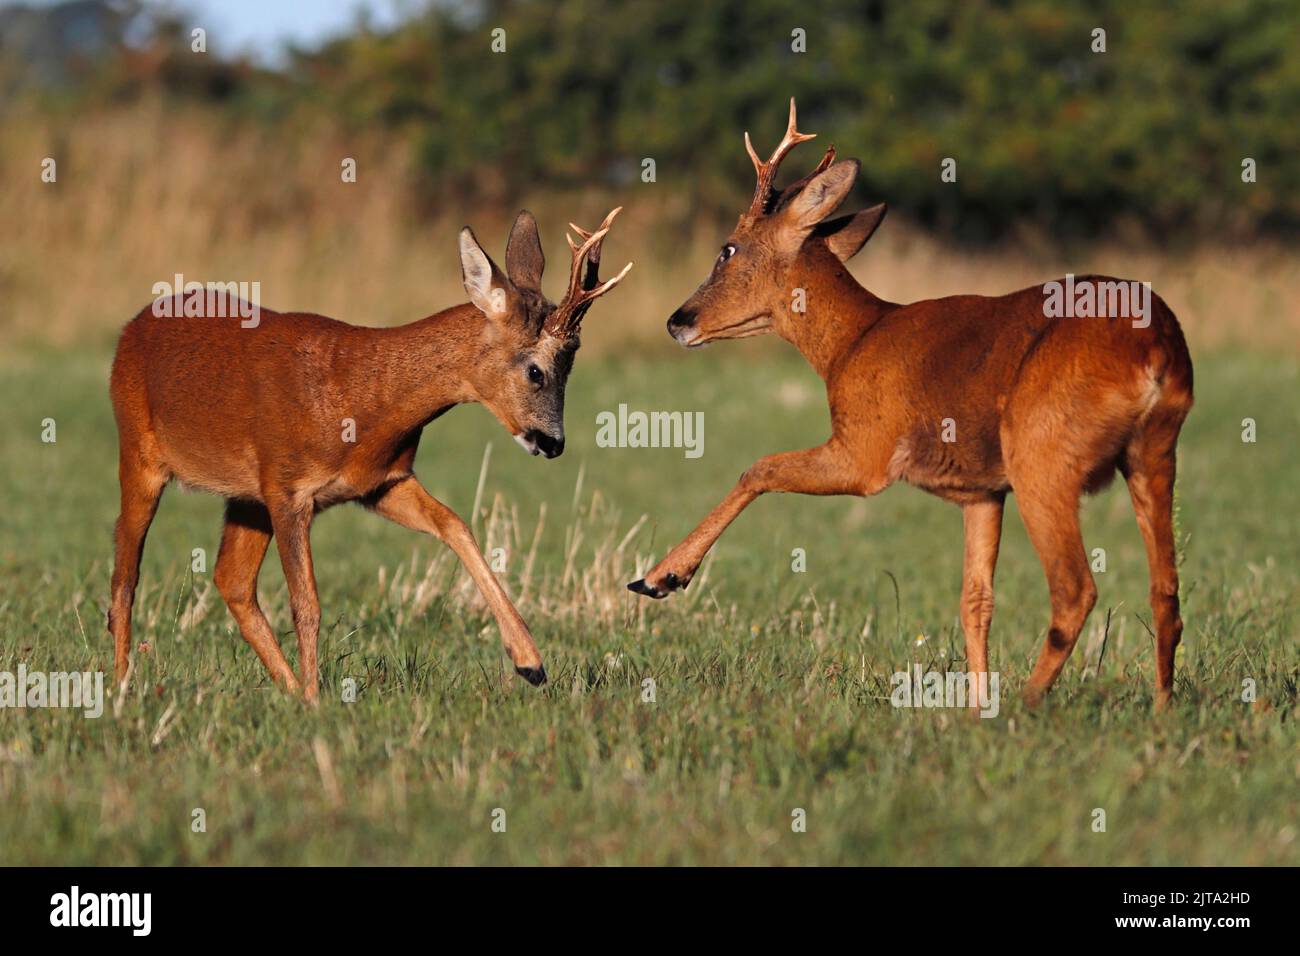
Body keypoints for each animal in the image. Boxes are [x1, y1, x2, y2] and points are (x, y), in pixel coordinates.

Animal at [111, 210, 629, 702]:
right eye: (536, 370)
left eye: (570, 366)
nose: (553, 442)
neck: (363, 402)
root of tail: (131, 327)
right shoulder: (287, 487)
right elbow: (307, 603)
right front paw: (316, 699)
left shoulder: (381, 482)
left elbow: (456, 524)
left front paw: (530, 661)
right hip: (139, 453)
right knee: (125, 575)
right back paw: (121, 685)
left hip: (244, 496)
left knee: (231, 581)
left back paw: (285, 687)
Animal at [629, 102, 1196, 712]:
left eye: (727, 248)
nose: (677, 320)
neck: (852, 343)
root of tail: (1156, 345)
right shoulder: (982, 490)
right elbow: (975, 601)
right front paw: (974, 705)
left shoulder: (866, 453)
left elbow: (758, 468)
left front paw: (660, 577)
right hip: (1153, 450)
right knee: (1166, 592)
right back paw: (1159, 712)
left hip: (1043, 451)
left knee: (1075, 589)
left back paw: (1025, 706)